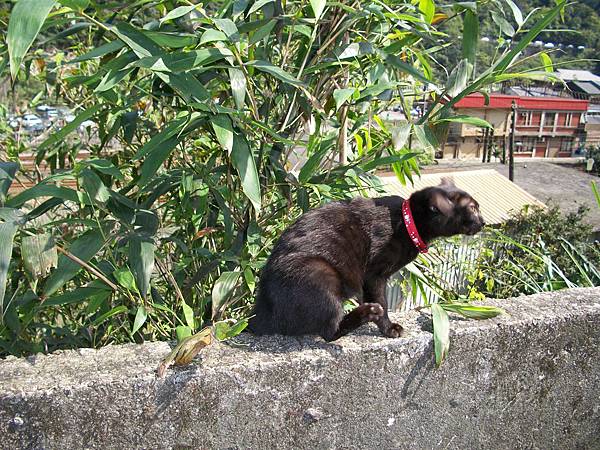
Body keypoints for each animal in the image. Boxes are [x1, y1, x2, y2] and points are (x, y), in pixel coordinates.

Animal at [250, 179, 488, 342]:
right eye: (473, 207)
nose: (484, 222)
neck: (406, 222)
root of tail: (261, 312)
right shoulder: (374, 275)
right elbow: (383, 301)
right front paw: (389, 328)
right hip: (321, 276)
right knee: (330, 331)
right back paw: (368, 312)